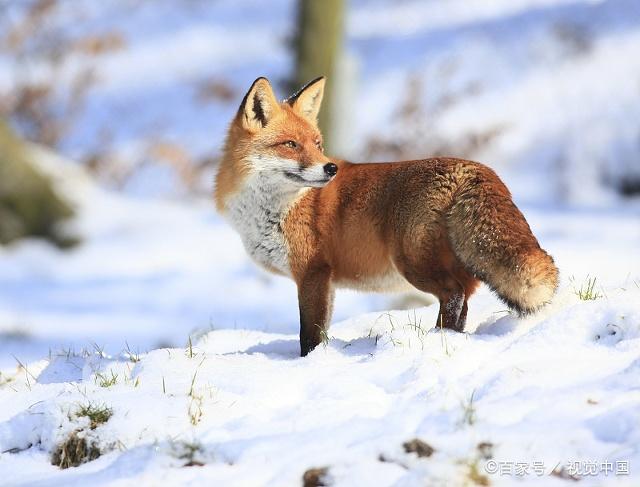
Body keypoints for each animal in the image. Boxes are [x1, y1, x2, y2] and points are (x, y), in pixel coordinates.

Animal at [214, 77, 556, 358]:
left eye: (317, 144)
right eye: (290, 144)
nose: (330, 168)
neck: (276, 208)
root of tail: (474, 168)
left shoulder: (312, 273)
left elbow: (309, 336)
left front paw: (309, 364)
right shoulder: (327, 281)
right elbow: (321, 331)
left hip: (412, 262)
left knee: (454, 294)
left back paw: (437, 339)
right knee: (464, 301)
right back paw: (450, 339)